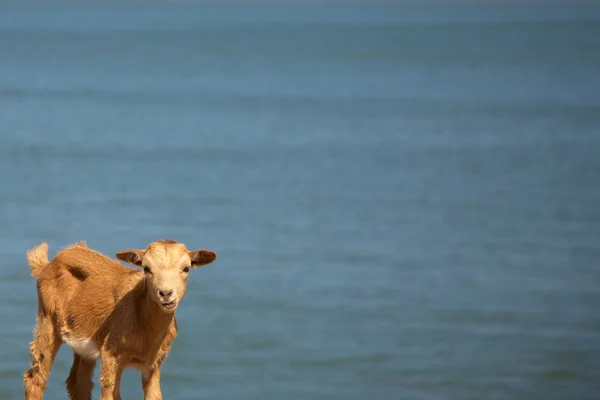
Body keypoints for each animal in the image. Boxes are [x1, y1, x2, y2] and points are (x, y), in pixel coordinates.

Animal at [22, 241, 218, 400]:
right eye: (146, 268)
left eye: (186, 268)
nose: (166, 293)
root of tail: (47, 265)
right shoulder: (111, 353)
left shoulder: (154, 362)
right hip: (47, 319)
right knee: (36, 377)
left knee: (78, 383)